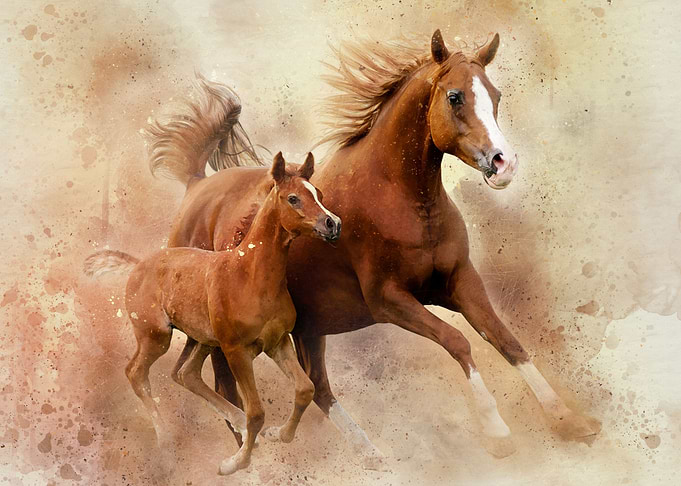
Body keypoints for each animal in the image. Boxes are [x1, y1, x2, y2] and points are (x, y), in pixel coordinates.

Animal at [84, 152, 342, 475]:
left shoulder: (278, 342)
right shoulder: (236, 350)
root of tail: (138, 265)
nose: (333, 224)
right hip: (156, 337)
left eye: (318, 194)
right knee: (136, 373)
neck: (249, 276)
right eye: (293, 198)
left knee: (186, 374)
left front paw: (278, 435)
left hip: (203, 340)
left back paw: (239, 429)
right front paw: (234, 463)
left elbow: (305, 389)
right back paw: (166, 442)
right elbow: (256, 412)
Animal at [147, 30, 598, 468]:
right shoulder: (389, 300)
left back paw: (368, 453)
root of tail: (196, 186)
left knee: (317, 387)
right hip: (227, 334)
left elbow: (506, 340)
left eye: (496, 95)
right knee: (224, 385)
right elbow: (458, 341)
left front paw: (569, 421)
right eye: (455, 96)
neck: (400, 200)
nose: (504, 164)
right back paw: (251, 456)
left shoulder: (460, 281)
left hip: (309, 327)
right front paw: (498, 433)